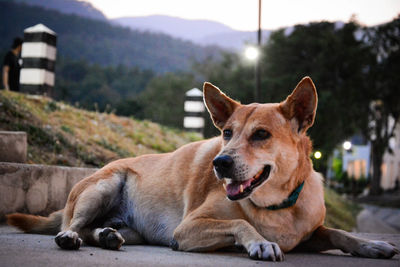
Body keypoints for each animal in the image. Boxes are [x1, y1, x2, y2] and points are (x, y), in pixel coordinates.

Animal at [7, 77, 400, 262]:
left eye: (261, 135)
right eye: (226, 133)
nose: (220, 162)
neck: (277, 208)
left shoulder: (312, 231)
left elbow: (338, 233)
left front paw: (372, 245)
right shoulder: (187, 229)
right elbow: (240, 223)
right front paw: (260, 243)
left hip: (130, 228)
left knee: (97, 230)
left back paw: (105, 235)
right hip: (103, 186)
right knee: (73, 225)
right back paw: (71, 236)